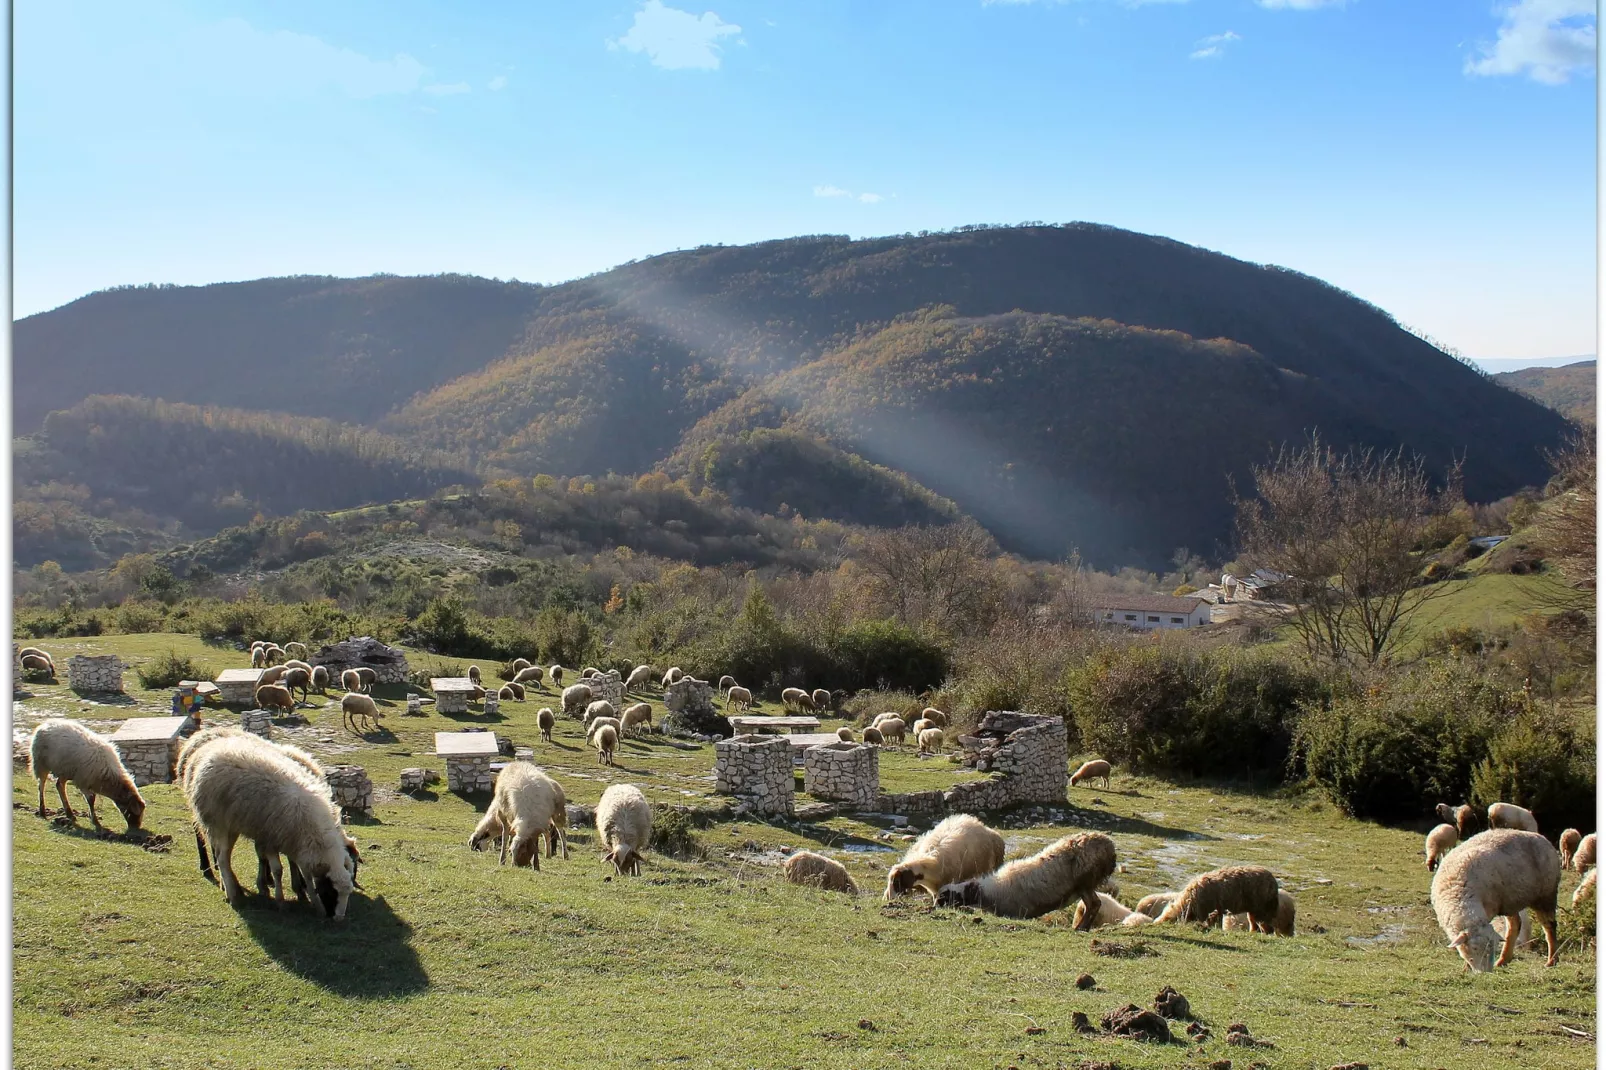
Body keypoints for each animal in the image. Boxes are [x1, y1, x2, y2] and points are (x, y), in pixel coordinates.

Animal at [184, 732, 354, 918]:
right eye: (332, 892)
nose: (338, 919)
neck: (313, 832)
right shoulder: (271, 838)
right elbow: (278, 870)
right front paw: (280, 901)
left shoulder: (295, 844)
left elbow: (305, 874)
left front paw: (313, 901)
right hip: (218, 823)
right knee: (221, 859)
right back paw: (233, 895)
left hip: (232, 825)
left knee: (225, 857)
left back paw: (232, 890)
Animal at [937, 829, 1117, 918]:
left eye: (948, 895)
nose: (936, 904)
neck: (989, 892)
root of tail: (1108, 845)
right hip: (1086, 884)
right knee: (1093, 904)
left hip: (1085, 881)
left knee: (1094, 905)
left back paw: (1081, 928)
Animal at [1432, 822, 1554, 963]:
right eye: (1473, 949)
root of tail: (1542, 838)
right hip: (1510, 900)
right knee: (1515, 924)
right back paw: (1503, 959)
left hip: (1545, 896)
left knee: (1550, 927)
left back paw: (1551, 960)